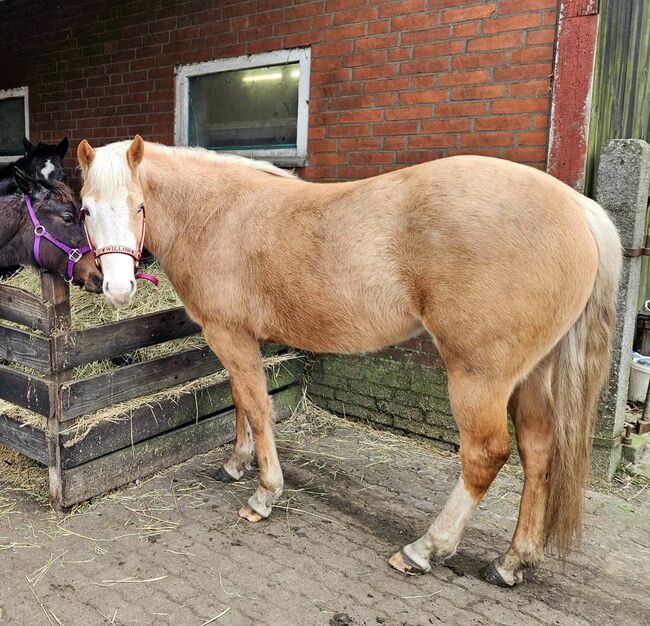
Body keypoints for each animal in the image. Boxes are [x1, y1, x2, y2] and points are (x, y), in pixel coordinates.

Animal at [76, 135, 616, 584]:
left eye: (139, 205)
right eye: (84, 210)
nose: (117, 288)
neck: (218, 214)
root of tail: (576, 208)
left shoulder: (230, 336)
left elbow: (258, 408)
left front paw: (265, 494)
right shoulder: (235, 338)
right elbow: (240, 403)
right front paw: (236, 464)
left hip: (479, 378)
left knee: (486, 455)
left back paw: (425, 549)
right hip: (532, 375)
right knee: (538, 451)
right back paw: (512, 561)